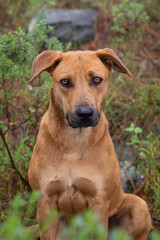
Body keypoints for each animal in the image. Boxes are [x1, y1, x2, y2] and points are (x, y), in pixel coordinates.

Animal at [28, 47, 152, 239]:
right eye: (65, 82)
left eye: (96, 79)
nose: (85, 113)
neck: (74, 144)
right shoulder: (45, 201)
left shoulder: (98, 202)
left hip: (139, 205)